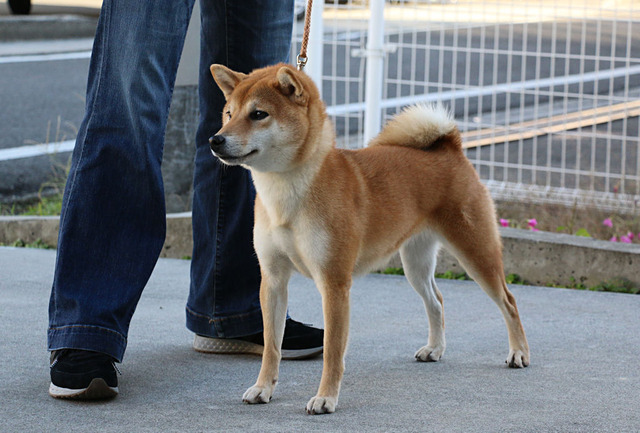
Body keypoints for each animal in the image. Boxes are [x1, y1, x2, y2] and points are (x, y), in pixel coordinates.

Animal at [210, 62, 528, 414]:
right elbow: (271, 346)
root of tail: (451, 147)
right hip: (415, 263)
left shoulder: (334, 284)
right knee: (436, 300)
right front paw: (263, 388)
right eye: (228, 113)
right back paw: (435, 348)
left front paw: (326, 397)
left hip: (476, 252)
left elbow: (333, 351)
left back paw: (518, 352)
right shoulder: (273, 279)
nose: (215, 139)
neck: (286, 192)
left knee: (508, 301)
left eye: (258, 114)